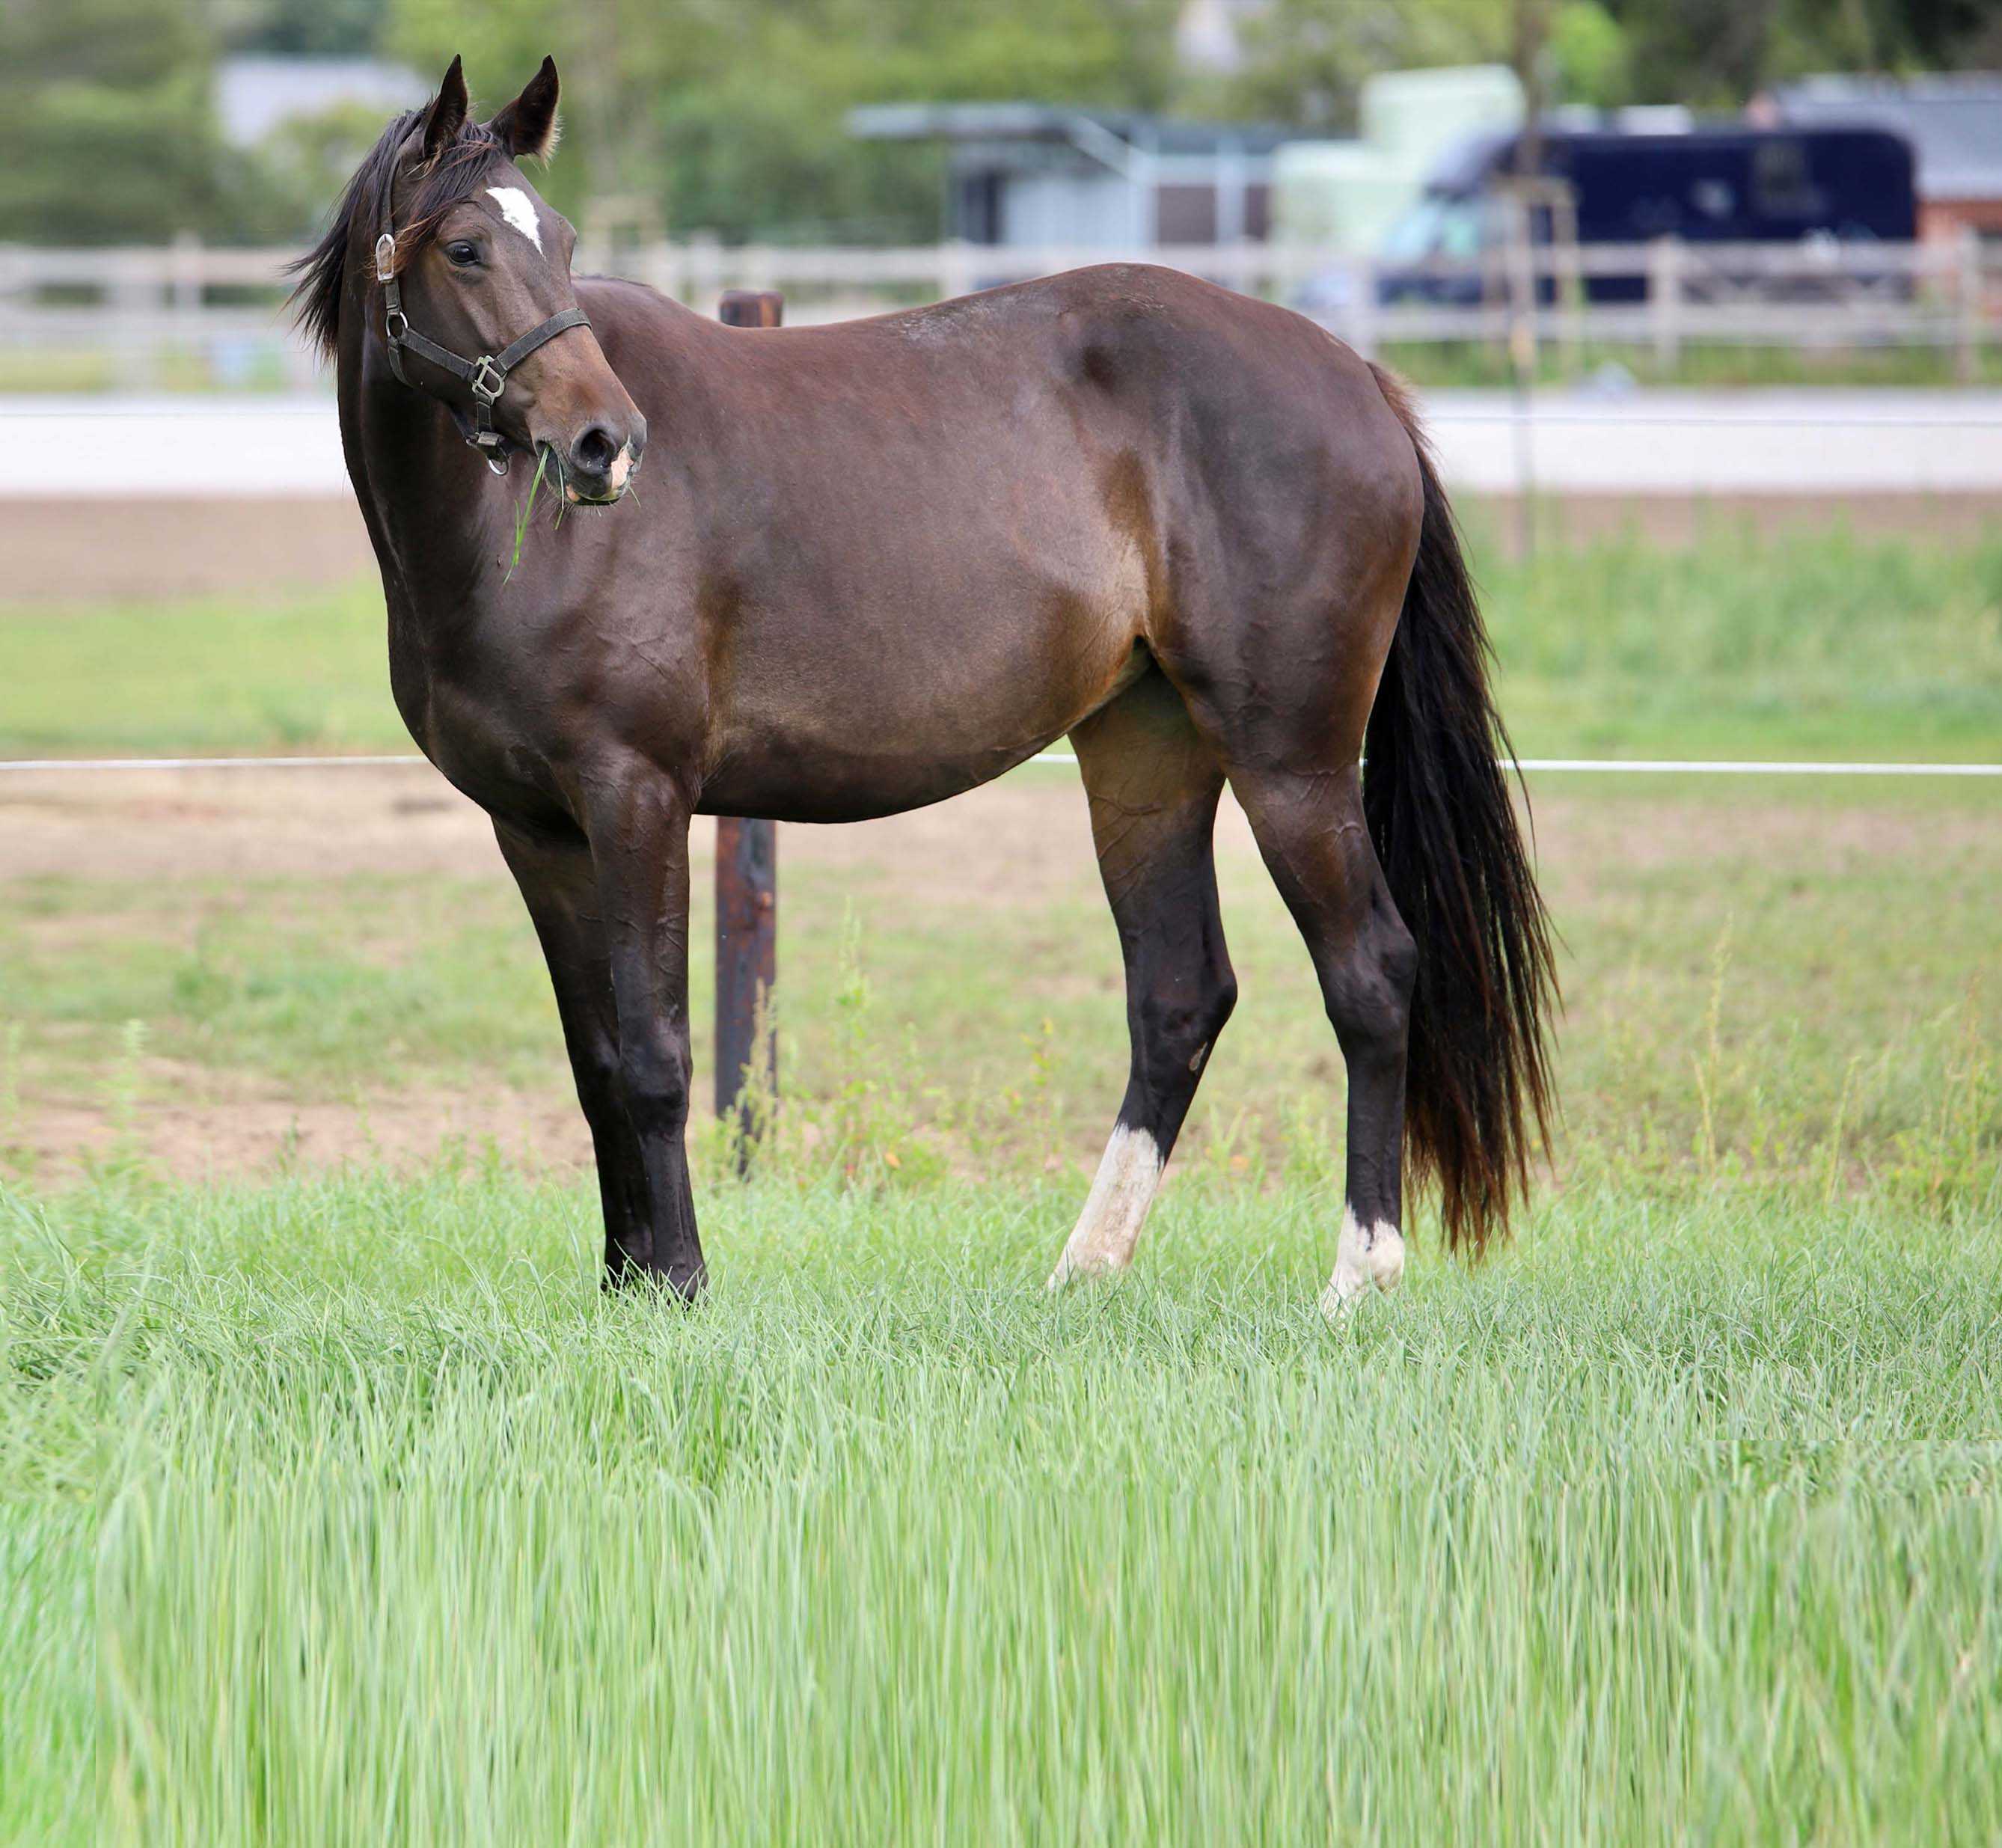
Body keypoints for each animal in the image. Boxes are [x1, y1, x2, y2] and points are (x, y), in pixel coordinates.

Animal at [290, 58, 1553, 1313]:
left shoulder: (637, 794)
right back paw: (1083, 1270)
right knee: (1179, 994)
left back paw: (1359, 1278)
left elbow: (655, 1053)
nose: (606, 444)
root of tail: (1359, 378)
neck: (507, 536)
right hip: (1146, 755)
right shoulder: (538, 828)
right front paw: (624, 1285)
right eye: (467, 248)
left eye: (555, 240)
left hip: (1290, 760)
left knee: (1371, 973)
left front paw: (681, 1283)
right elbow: (597, 1060)